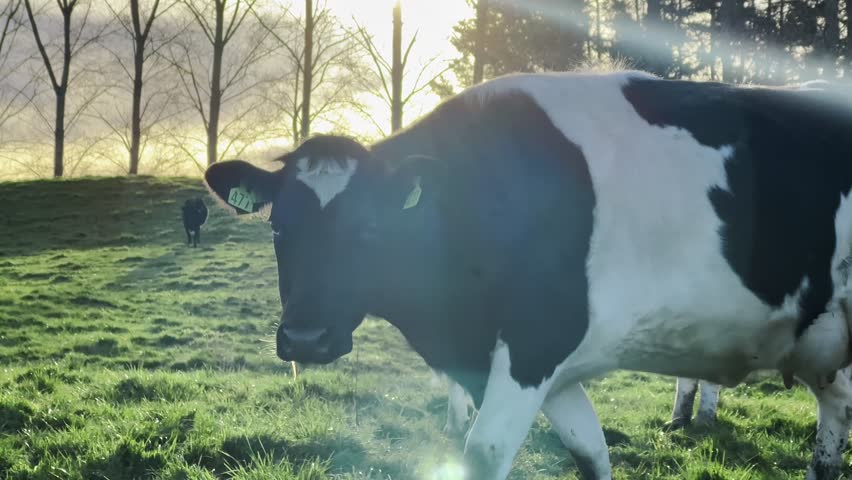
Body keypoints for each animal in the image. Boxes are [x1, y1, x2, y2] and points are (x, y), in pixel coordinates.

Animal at [204, 71, 852, 479]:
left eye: (368, 228)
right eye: (278, 228)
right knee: (831, 434)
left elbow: (484, 452)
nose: (305, 338)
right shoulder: (544, 369)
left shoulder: (537, 343)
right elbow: (591, 454)